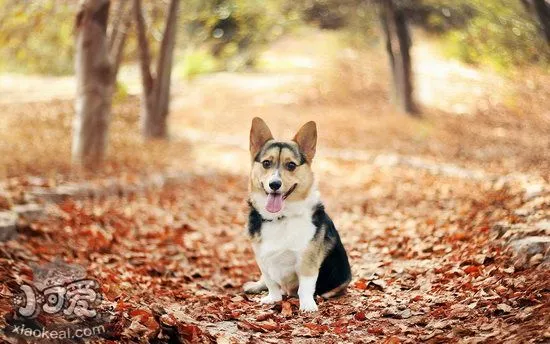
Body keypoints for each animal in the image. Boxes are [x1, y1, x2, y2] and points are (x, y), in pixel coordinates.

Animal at [244, 117, 352, 312]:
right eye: (266, 163)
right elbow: (271, 282)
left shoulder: (307, 260)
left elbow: (306, 286)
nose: (274, 184)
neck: (280, 217)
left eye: (291, 165)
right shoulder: (263, 258)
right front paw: (272, 298)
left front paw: (308, 305)